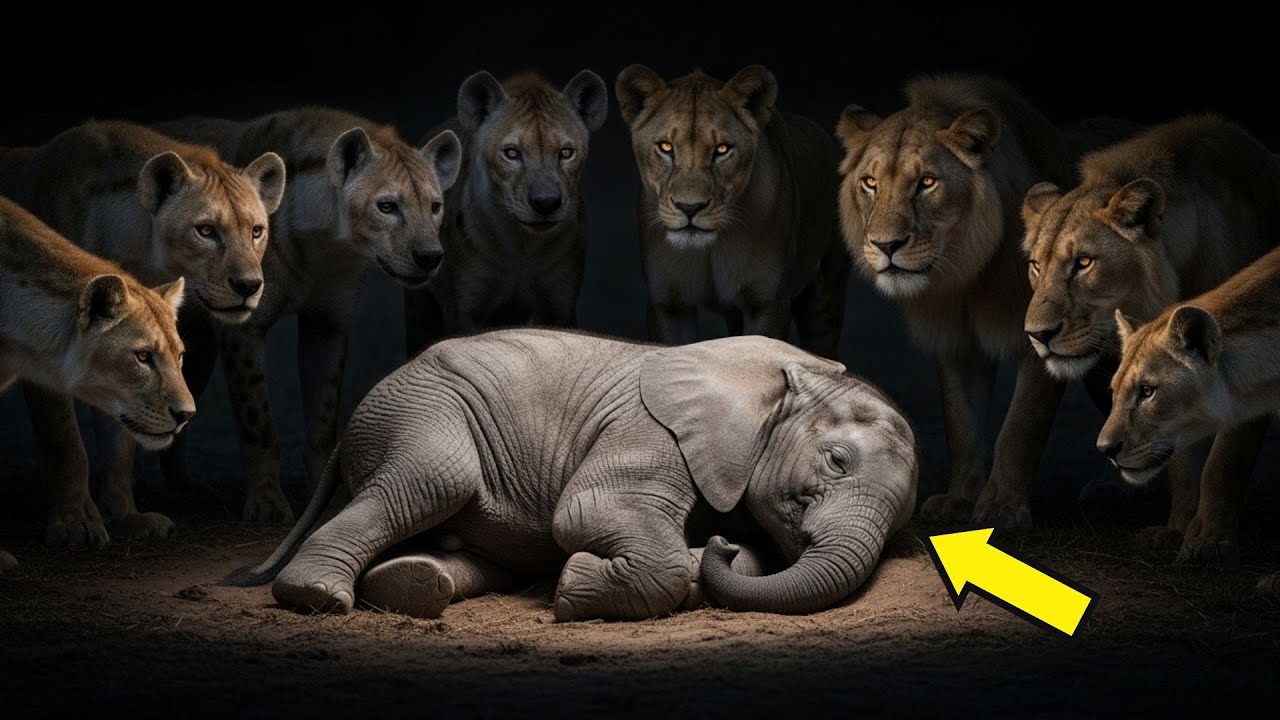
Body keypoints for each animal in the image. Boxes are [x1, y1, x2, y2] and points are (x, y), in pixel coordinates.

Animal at [155, 108, 460, 522]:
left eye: (434, 206)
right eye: (387, 206)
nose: (430, 255)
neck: (322, 246)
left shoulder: (328, 322)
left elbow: (323, 415)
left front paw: (327, 498)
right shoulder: (244, 326)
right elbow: (258, 419)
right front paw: (268, 504)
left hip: (198, 345)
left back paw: (185, 488)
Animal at [403, 70, 608, 353]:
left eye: (566, 152)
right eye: (511, 153)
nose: (545, 202)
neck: (521, 245)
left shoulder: (559, 304)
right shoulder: (465, 307)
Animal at [614, 65, 849, 359]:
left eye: (722, 149)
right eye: (666, 147)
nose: (690, 207)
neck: (710, 248)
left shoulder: (767, 303)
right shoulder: (669, 304)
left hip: (824, 298)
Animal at [836, 75, 1130, 528]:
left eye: (926, 182)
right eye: (870, 183)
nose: (886, 245)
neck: (968, 272)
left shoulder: (1047, 339)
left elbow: (1020, 428)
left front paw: (1003, 506)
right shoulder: (957, 341)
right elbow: (961, 424)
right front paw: (958, 500)